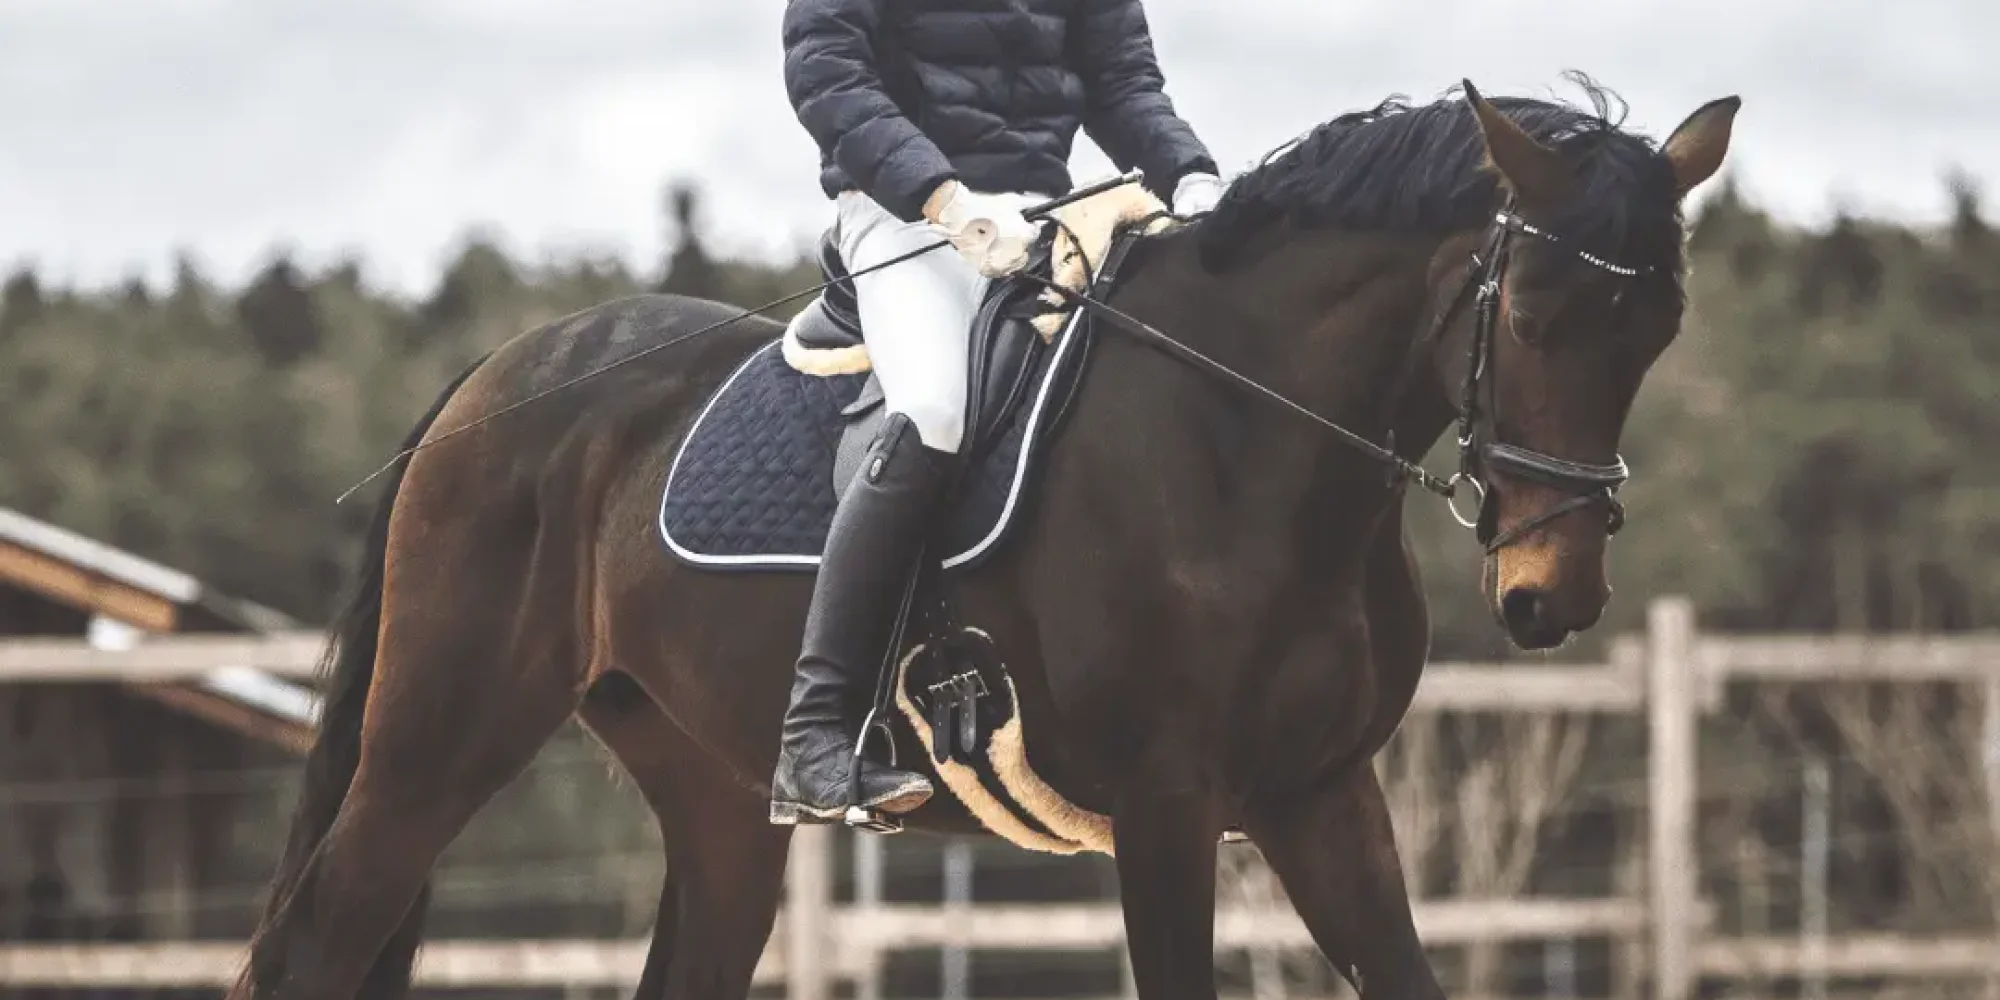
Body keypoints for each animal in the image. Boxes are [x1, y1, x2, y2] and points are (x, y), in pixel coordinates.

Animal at [234, 80, 1736, 1000]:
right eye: (1529, 315)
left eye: (1659, 328)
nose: (1551, 594)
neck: (1249, 434)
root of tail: (501, 374)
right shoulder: (1171, 800)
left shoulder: (1321, 795)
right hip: (438, 740)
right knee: (314, 942)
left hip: (712, 792)